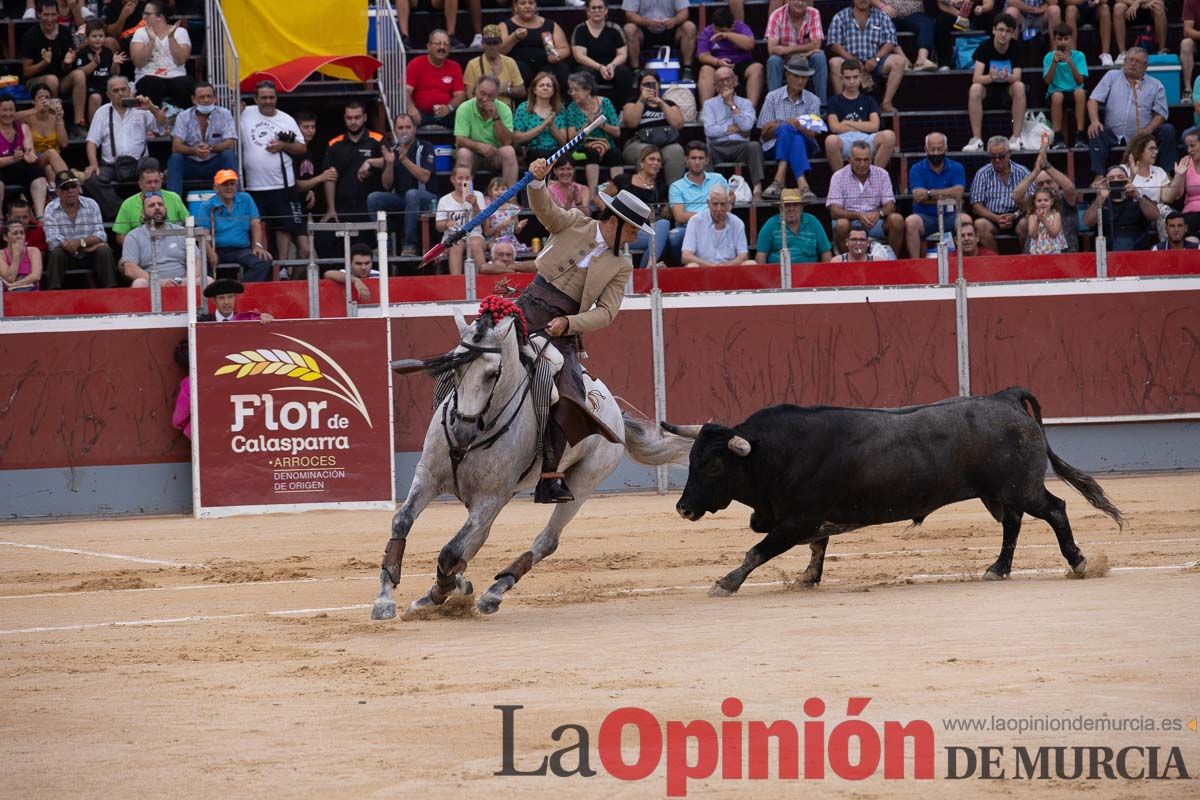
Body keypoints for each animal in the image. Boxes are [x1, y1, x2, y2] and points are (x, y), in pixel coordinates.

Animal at [374, 303, 696, 623]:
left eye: (493, 373)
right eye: (455, 367)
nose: (462, 430)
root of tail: (614, 409)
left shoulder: (491, 497)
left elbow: (450, 550)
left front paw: (444, 590)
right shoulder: (428, 476)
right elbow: (402, 521)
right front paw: (387, 599)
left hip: (583, 482)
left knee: (546, 540)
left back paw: (492, 593)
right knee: (478, 538)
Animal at [667, 388, 1123, 594]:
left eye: (712, 465)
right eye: (690, 461)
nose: (683, 508)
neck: (772, 453)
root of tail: (1004, 398)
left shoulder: (796, 520)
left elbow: (757, 551)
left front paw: (725, 583)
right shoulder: (810, 519)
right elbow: (817, 547)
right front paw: (808, 578)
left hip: (1021, 488)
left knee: (1055, 509)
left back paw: (1079, 562)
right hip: (1000, 494)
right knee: (1013, 525)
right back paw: (997, 569)